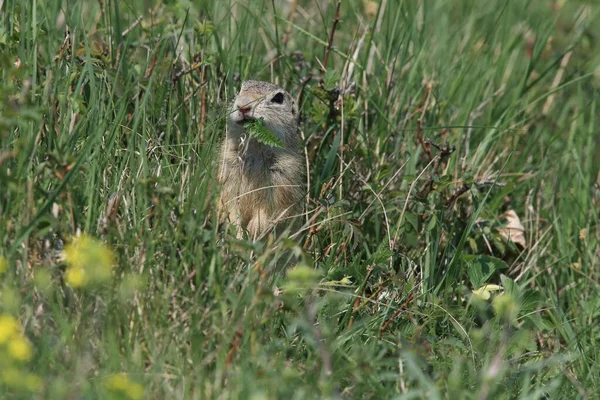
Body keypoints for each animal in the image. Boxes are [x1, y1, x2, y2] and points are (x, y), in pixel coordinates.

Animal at [218, 80, 304, 239]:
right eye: (239, 89)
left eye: (278, 98)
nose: (243, 106)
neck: (255, 147)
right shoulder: (228, 170)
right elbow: (229, 203)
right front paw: (238, 233)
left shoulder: (284, 176)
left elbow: (272, 208)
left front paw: (255, 229)